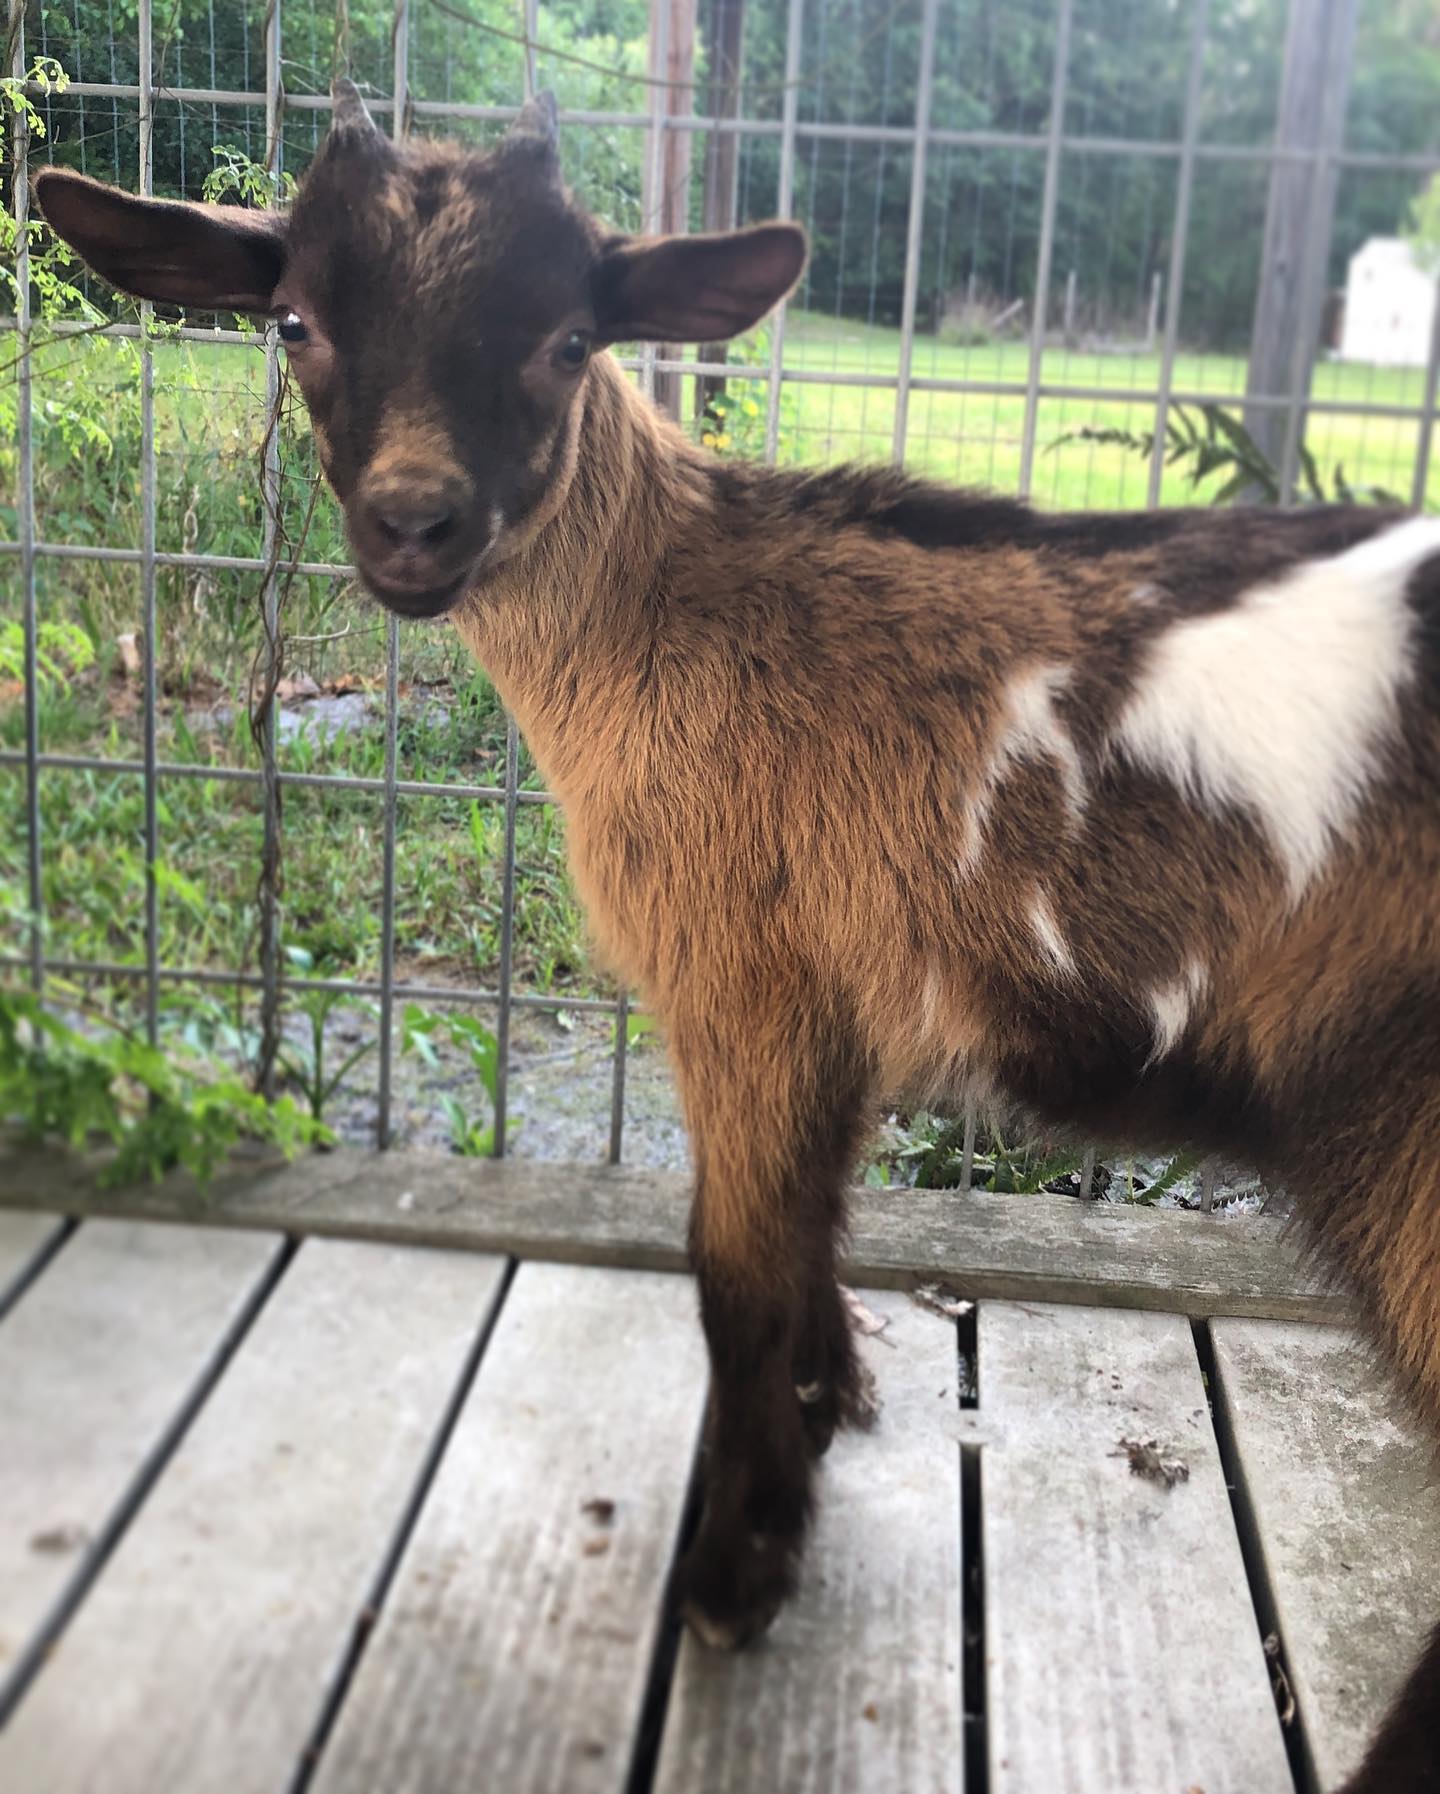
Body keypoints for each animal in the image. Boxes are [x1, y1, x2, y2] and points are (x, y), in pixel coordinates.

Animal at [34, 82, 1440, 1791]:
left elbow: (731, 1270)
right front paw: (836, 1396)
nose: (416, 523)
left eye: (571, 336)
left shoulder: (743, 973)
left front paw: (739, 1564)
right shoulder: (836, 989)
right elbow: (812, 1225)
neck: (693, 609)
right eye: (295, 318)